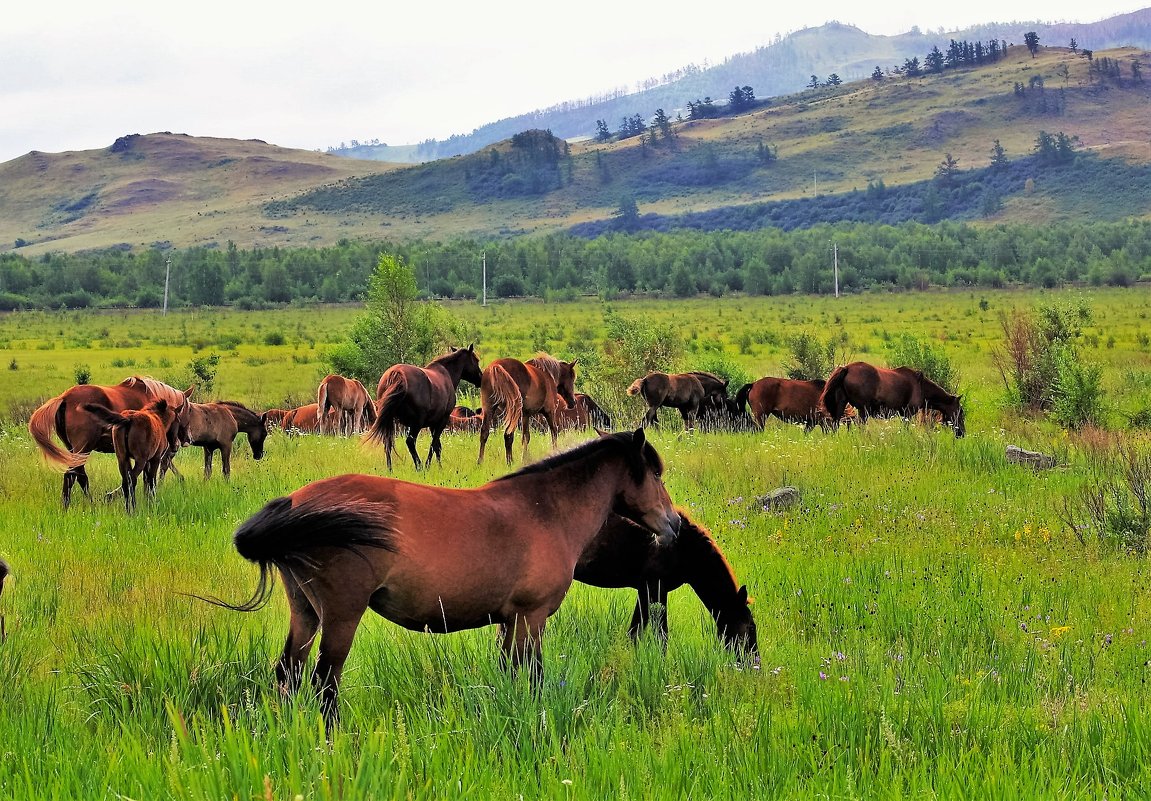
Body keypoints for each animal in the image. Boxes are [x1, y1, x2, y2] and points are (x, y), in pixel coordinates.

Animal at [28, 377, 194, 506]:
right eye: (189, 411)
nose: (186, 440)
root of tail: (64, 398)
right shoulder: (151, 455)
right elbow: (148, 478)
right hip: (83, 448)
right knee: (75, 475)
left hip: (73, 449)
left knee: (76, 475)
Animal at [212, 432, 676, 727]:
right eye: (655, 474)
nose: (672, 524)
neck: (545, 510)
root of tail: (297, 503)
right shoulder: (531, 618)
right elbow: (533, 676)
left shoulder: (508, 622)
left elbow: (509, 674)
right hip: (341, 616)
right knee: (324, 682)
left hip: (305, 612)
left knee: (288, 674)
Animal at [580, 510, 759, 658]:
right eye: (751, 627)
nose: (755, 663)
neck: (682, 547)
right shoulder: (657, 588)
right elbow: (661, 636)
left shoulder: (644, 590)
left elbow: (635, 631)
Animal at [819, 363, 962, 437]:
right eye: (960, 413)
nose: (962, 433)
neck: (920, 385)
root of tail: (847, 368)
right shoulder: (908, 413)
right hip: (863, 410)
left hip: (841, 405)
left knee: (835, 424)